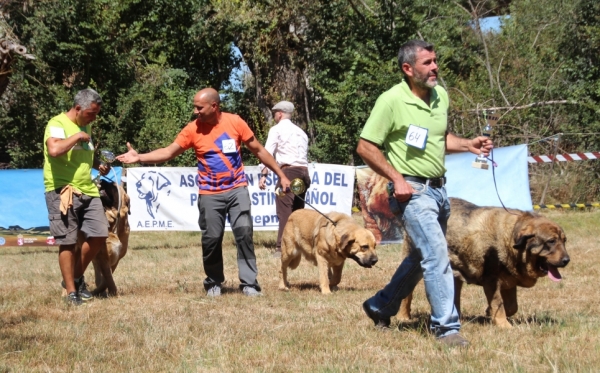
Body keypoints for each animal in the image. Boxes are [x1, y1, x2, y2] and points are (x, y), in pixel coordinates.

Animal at [400, 196, 568, 326]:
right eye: (551, 241)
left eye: (564, 241)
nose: (567, 260)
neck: (511, 239)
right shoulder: (491, 281)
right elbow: (498, 304)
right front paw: (504, 325)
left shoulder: (509, 282)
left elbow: (512, 306)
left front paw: (489, 312)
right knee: (406, 292)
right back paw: (404, 316)